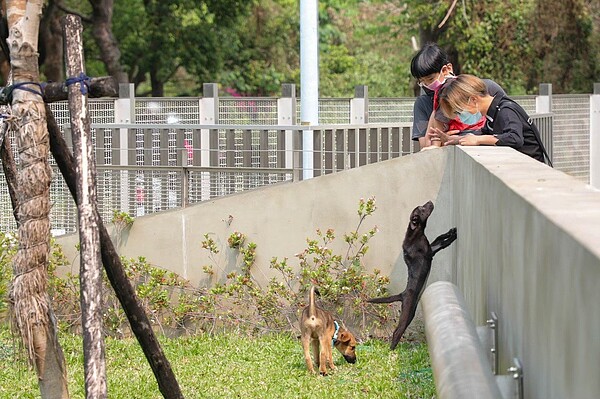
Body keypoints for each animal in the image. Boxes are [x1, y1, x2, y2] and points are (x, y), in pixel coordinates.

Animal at [368, 202, 458, 348]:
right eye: (422, 209)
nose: (430, 202)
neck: (416, 232)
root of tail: (402, 294)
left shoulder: (431, 247)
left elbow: (439, 237)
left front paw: (451, 231)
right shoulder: (429, 253)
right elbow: (443, 242)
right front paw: (453, 236)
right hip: (407, 314)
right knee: (397, 332)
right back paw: (392, 349)